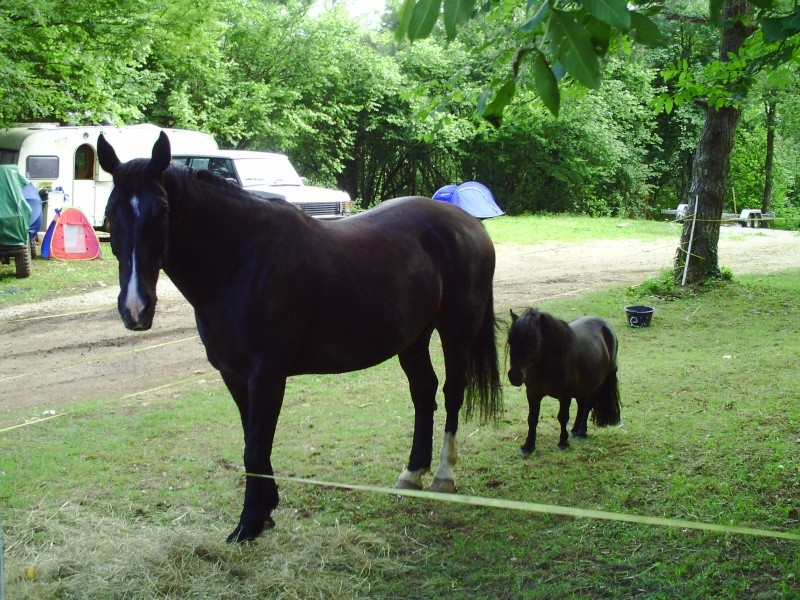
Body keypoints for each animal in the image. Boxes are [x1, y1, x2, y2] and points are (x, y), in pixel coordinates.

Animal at [98, 132, 500, 544]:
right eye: (111, 213)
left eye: (162, 210)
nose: (135, 309)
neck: (241, 261)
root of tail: (470, 225)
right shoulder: (234, 375)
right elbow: (253, 441)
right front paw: (266, 511)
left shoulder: (267, 375)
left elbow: (256, 448)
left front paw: (248, 524)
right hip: (413, 338)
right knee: (423, 392)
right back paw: (412, 473)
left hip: (456, 331)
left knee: (452, 393)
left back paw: (444, 475)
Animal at [506, 308, 620, 458]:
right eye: (510, 341)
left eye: (535, 343)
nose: (515, 377)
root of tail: (606, 326)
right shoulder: (533, 394)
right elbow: (532, 419)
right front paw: (528, 446)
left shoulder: (565, 396)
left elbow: (563, 417)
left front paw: (563, 442)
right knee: (581, 405)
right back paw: (575, 430)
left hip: (596, 384)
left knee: (587, 405)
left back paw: (581, 432)